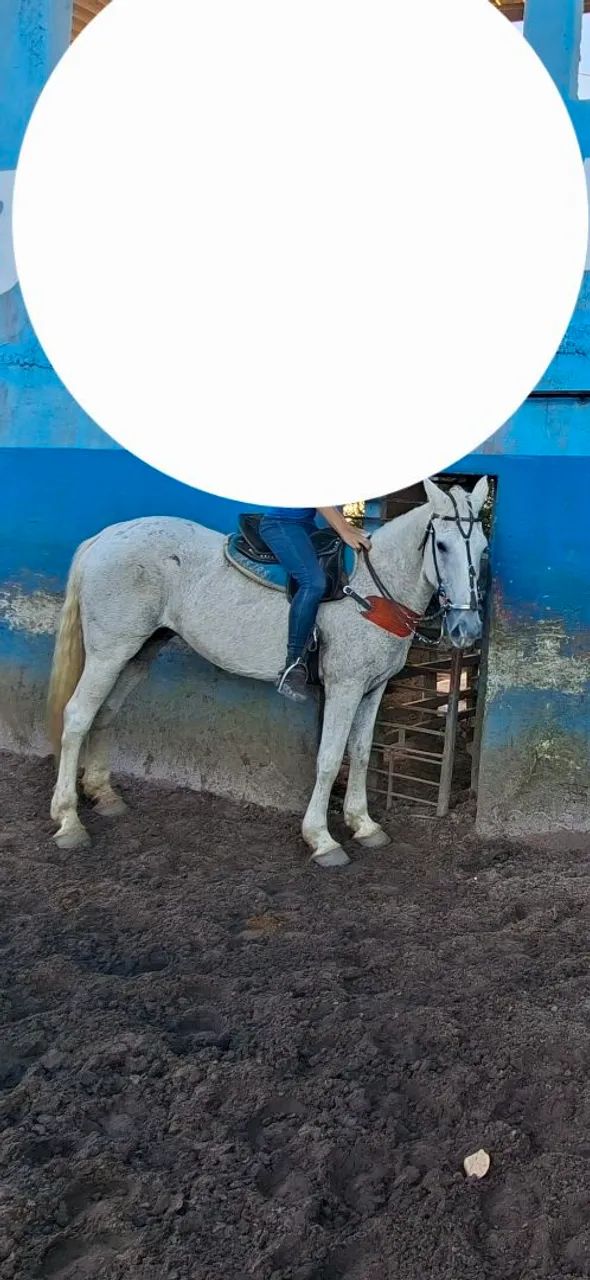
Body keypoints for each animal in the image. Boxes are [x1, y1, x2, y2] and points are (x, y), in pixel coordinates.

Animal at [47, 476, 489, 867]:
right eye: (442, 545)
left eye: (483, 548)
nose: (466, 630)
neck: (373, 591)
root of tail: (105, 538)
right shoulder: (344, 687)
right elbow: (330, 758)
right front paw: (322, 839)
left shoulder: (373, 688)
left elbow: (361, 752)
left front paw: (363, 825)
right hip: (108, 653)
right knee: (78, 717)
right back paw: (69, 820)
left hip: (138, 653)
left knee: (105, 714)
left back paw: (104, 796)